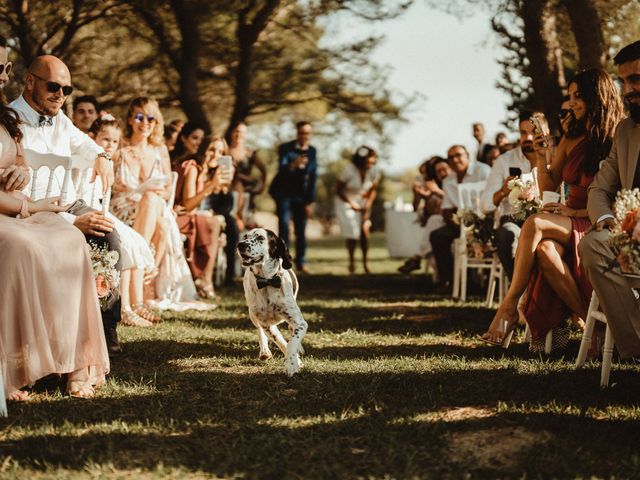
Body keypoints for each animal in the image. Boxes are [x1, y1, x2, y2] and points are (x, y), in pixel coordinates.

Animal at [238, 227, 308, 376]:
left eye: (260, 238)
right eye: (245, 236)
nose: (240, 245)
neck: (267, 281)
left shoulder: (300, 322)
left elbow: (292, 341)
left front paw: (292, 363)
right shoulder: (266, 324)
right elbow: (282, 342)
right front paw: (295, 363)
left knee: (291, 329)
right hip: (253, 315)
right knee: (260, 331)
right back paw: (264, 351)